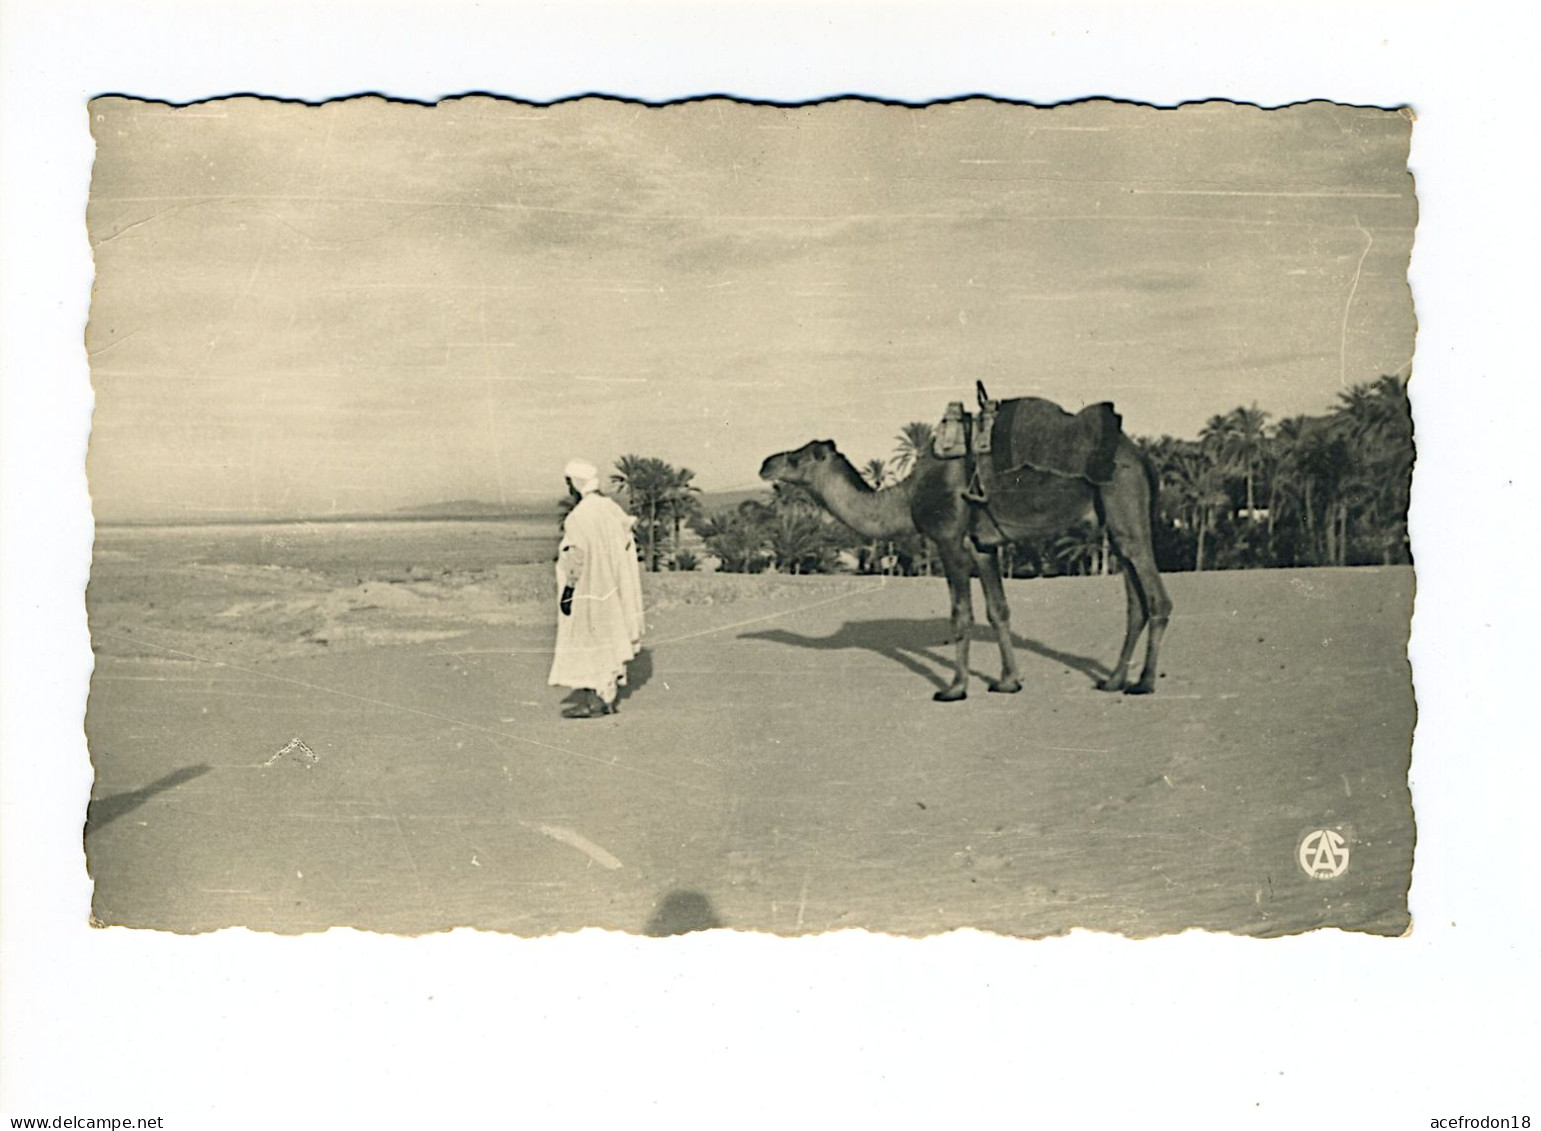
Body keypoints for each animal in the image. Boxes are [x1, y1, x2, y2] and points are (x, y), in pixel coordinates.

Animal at [764, 406, 1171, 708]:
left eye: (797, 458)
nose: (766, 463)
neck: (906, 497)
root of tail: (1142, 456)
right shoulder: (983, 545)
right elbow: (998, 611)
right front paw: (1008, 682)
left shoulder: (949, 539)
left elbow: (961, 614)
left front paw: (954, 688)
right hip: (1112, 519)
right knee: (1135, 601)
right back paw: (1113, 680)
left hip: (1123, 498)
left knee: (1157, 598)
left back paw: (1144, 683)